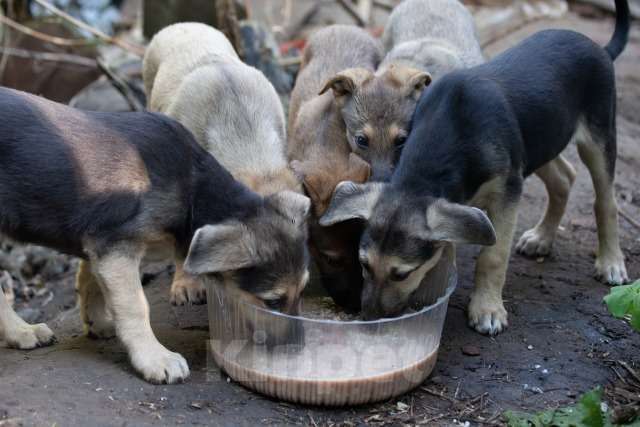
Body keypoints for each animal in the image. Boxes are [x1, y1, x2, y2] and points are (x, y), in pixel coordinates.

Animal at [0, 87, 310, 384]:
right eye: (272, 302)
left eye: (303, 290)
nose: (297, 349)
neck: (193, 192)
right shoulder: (116, 247)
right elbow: (136, 306)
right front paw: (154, 358)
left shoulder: (98, 241)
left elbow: (89, 280)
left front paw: (98, 322)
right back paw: (22, 331)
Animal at [320, 0, 632, 334]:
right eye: (364, 264)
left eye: (401, 274)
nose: (369, 319)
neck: (451, 130)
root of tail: (599, 48)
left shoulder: (508, 192)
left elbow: (492, 256)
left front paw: (487, 309)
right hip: (540, 141)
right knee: (565, 177)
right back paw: (541, 238)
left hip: (597, 137)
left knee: (606, 201)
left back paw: (611, 262)